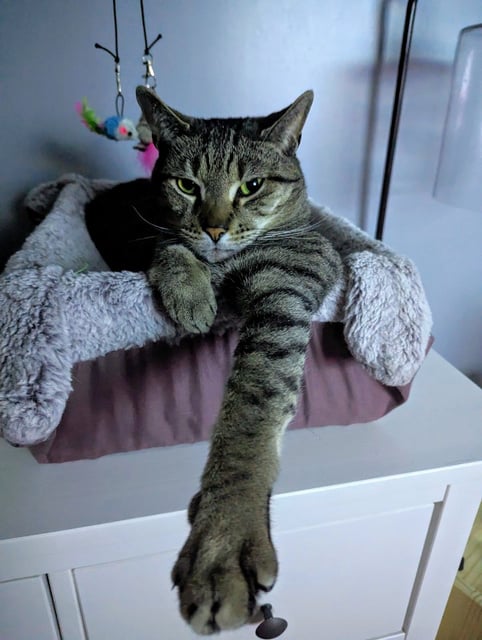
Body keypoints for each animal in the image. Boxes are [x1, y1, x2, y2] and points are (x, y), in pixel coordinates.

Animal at [84, 87, 340, 632]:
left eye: (252, 186)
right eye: (187, 185)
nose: (215, 228)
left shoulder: (288, 284)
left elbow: (251, 411)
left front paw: (223, 539)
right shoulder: (158, 236)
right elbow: (169, 243)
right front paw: (189, 291)